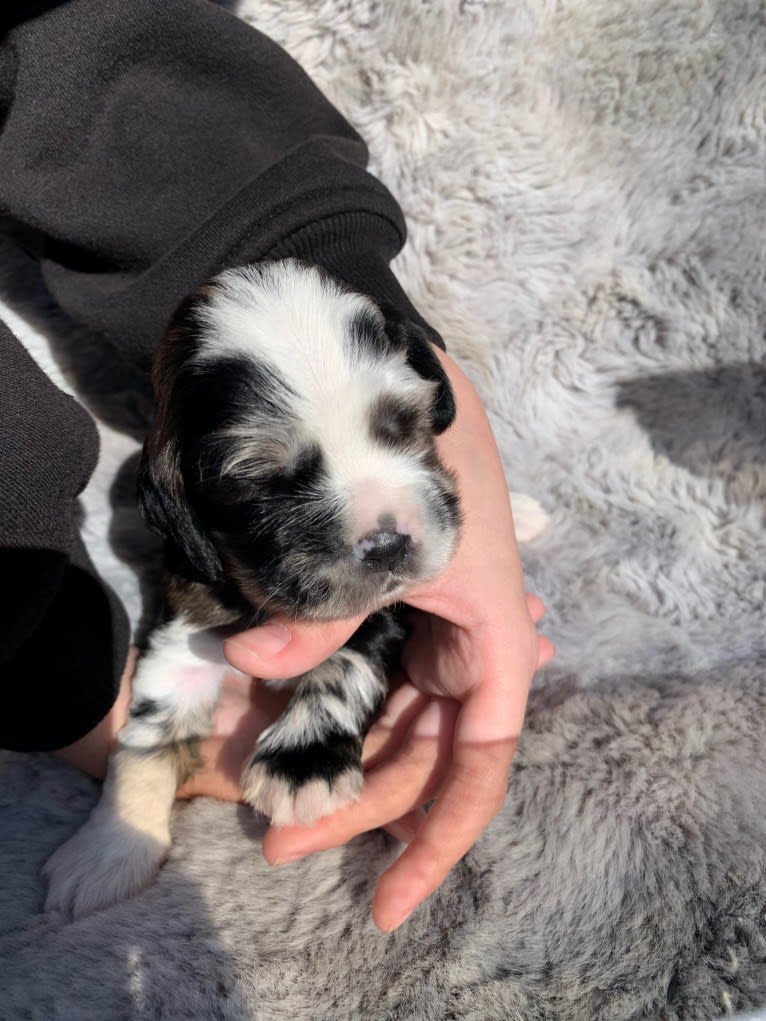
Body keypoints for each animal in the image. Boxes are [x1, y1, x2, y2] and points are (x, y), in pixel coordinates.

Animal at [43, 261, 547, 918]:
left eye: (402, 425)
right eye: (265, 481)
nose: (387, 545)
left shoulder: (387, 610)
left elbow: (344, 665)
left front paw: (302, 767)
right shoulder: (185, 622)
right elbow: (148, 733)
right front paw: (108, 850)